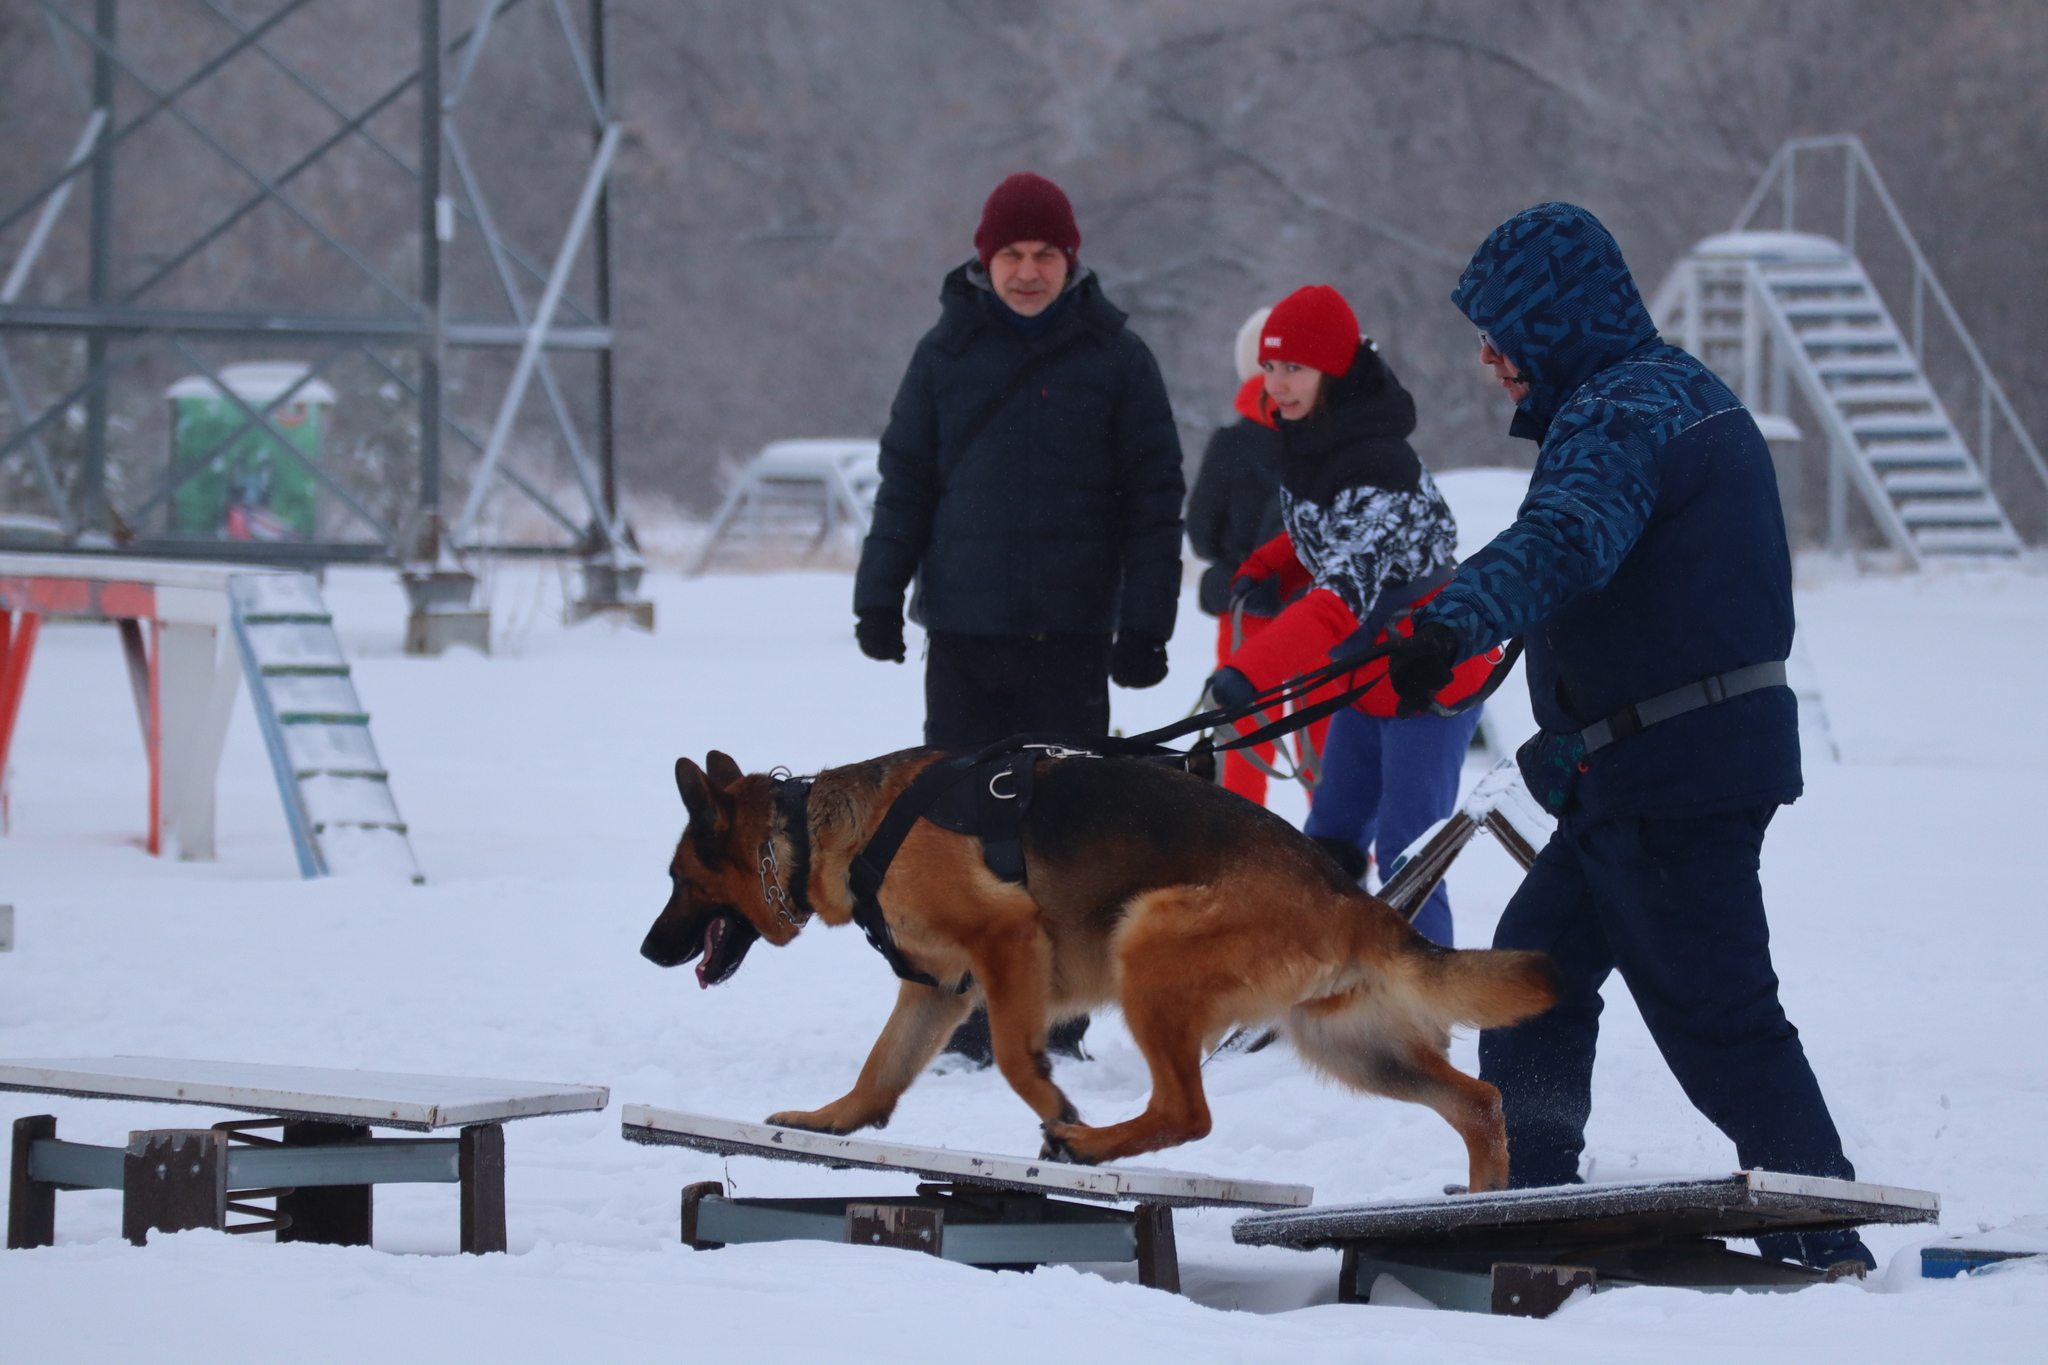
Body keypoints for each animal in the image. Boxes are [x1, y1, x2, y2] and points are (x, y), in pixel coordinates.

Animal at [638, 753, 1548, 1186]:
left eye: (677, 880)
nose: (646, 951)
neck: (818, 830)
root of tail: (1350, 895)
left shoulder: (1006, 943)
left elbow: (1013, 1054)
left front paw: (1053, 1099)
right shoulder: (938, 989)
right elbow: (879, 1071)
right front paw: (828, 1121)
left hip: (1145, 946)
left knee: (1187, 1113)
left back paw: (1088, 1140)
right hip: (1350, 1047)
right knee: (1480, 1101)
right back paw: (1486, 1198)